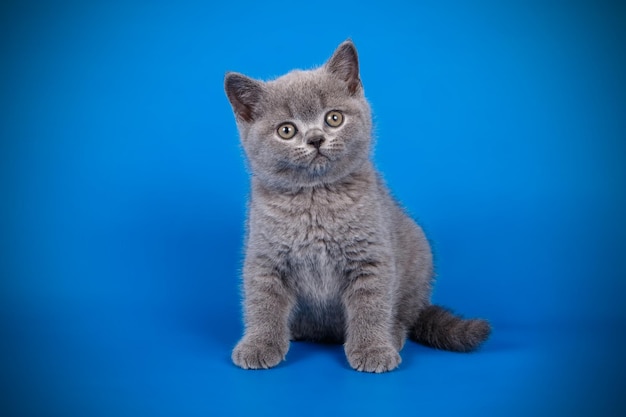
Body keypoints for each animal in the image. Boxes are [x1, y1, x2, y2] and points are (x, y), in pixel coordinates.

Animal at [222, 38, 490, 370]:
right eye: (286, 130)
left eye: (333, 118)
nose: (315, 139)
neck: (315, 199)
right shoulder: (265, 257)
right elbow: (262, 303)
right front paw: (259, 344)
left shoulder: (371, 257)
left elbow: (370, 306)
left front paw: (372, 348)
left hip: (418, 257)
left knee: (405, 315)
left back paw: (393, 334)